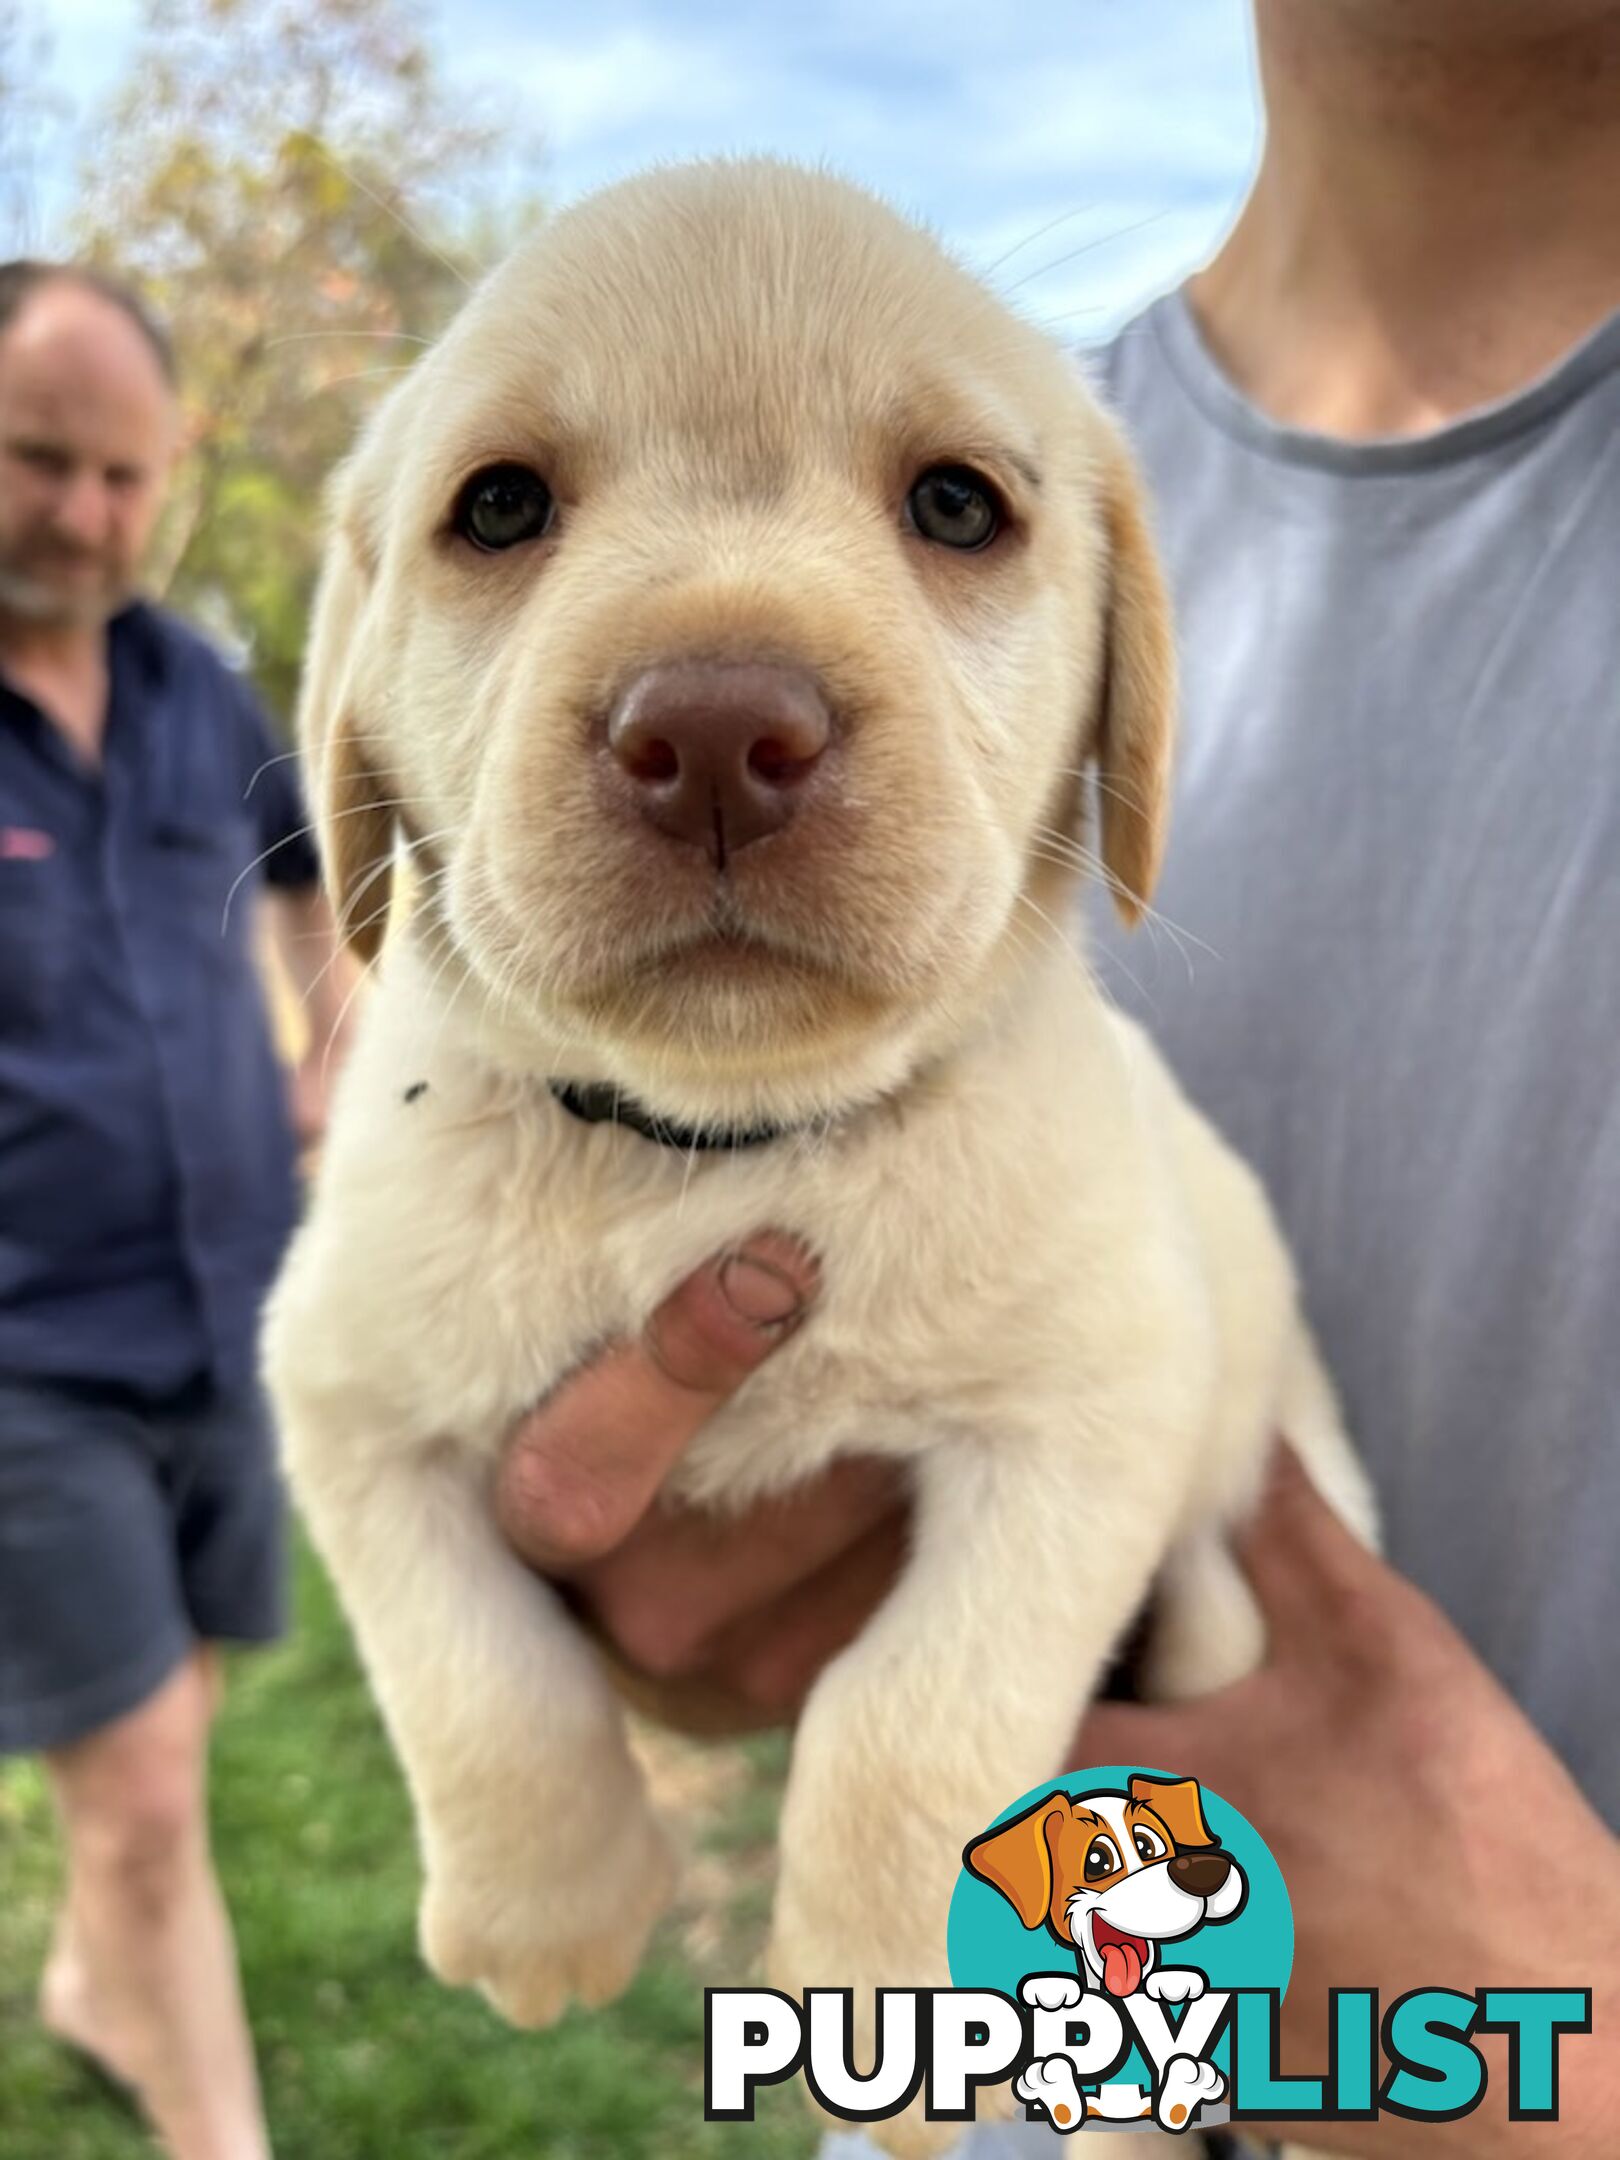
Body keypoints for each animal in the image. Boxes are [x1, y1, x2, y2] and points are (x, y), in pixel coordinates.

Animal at [260, 159, 1373, 2151]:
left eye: (957, 505)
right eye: (500, 507)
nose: (713, 728)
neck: (721, 1146)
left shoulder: (1090, 1418)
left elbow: (914, 1711)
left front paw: (912, 1996)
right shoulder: (340, 1396)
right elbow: (476, 1681)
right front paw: (546, 1911)